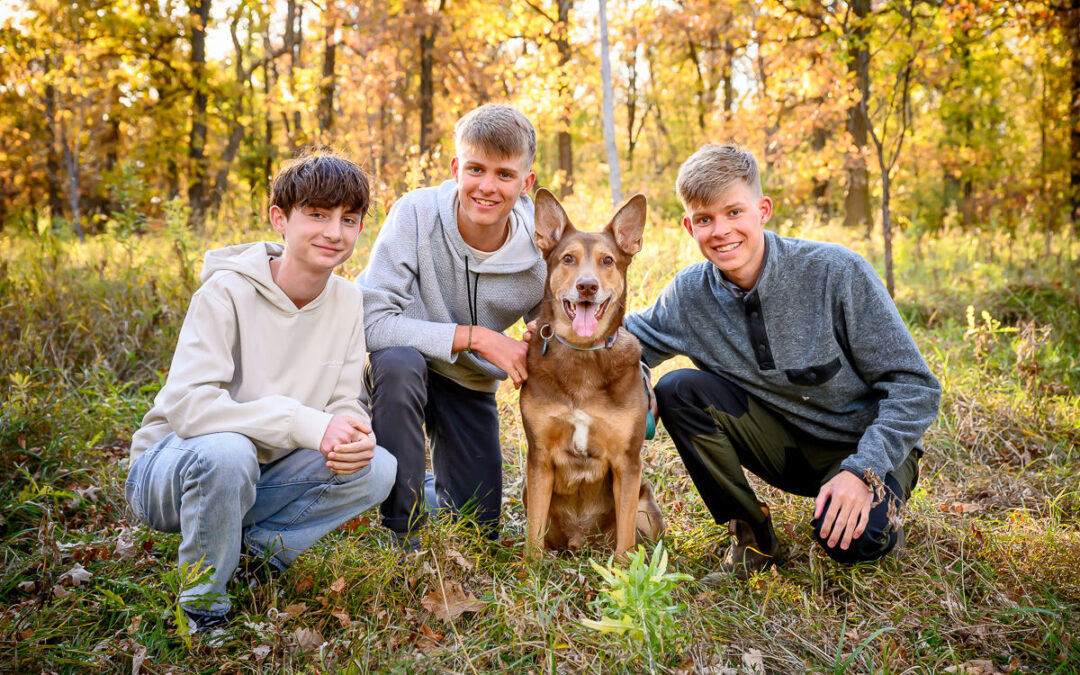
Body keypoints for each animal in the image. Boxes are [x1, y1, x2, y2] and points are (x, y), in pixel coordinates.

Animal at [518, 186, 660, 557]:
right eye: (568, 258)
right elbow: (532, 535)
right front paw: (530, 568)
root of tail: (582, 540)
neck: (582, 353)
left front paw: (626, 570)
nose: (587, 286)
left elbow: (625, 540)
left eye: (607, 261)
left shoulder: (628, 464)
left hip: (647, 506)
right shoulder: (539, 460)